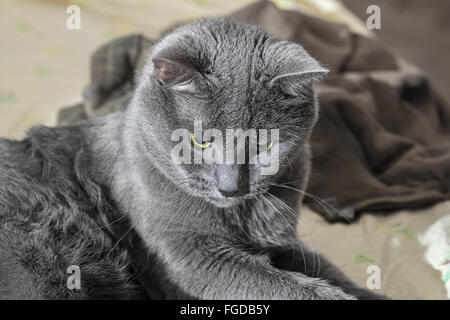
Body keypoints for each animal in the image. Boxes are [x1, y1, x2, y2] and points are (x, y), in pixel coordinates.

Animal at [0, 17, 386, 298]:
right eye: (198, 142)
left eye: (263, 146)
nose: (231, 188)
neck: (242, 217)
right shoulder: (188, 257)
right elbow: (281, 286)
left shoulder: (284, 240)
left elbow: (326, 269)